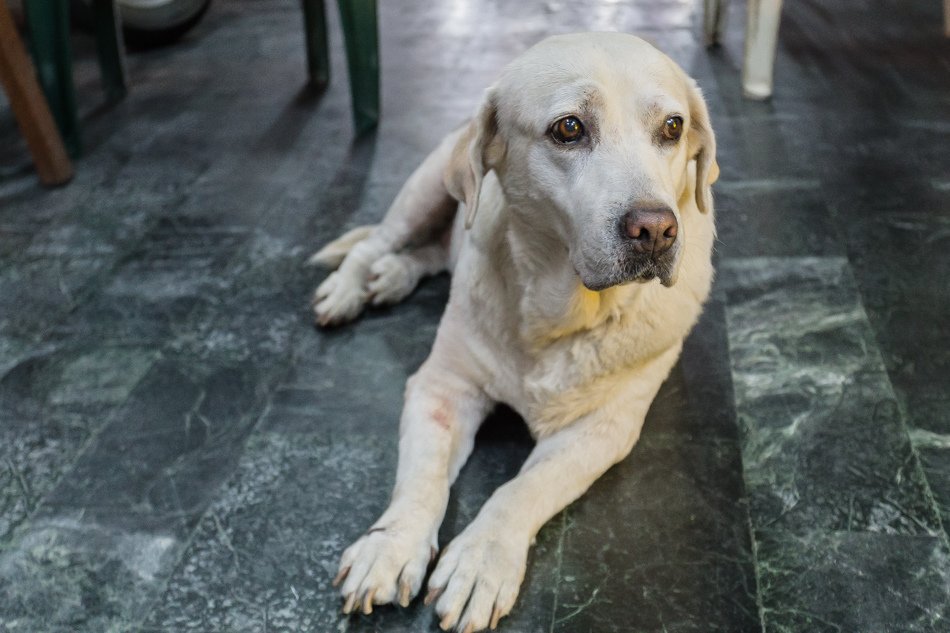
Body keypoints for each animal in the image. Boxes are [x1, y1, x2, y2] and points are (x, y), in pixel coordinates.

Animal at [312, 32, 720, 628]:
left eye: (672, 126)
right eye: (569, 128)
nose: (656, 230)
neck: (559, 312)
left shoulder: (604, 428)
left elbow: (522, 489)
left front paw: (481, 561)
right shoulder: (441, 387)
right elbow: (421, 477)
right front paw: (390, 545)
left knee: (428, 253)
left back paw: (392, 277)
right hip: (425, 190)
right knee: (376, 242)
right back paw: (348, 287)